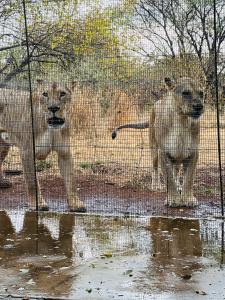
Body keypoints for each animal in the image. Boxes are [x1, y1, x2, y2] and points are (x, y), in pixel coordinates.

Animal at [0, 82, 86, 212]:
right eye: (45, 94)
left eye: (62, 94)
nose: (53, 108)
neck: (50, 127)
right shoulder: (27, 151)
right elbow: (32, 182)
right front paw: (38, 204)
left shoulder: (65, 152)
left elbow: (71, 180)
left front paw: (75, 204)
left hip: (4, 144)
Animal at [112, 77, 204, 206]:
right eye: (186, 93)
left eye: (201, 93)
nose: (199, 106)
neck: (182, 121)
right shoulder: (163, 152)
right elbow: (169, 178)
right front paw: (173, 199)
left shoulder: (193, 153)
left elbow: (189, 178)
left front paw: (188, 199)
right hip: (154, 150)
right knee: (155, 168)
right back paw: (156, 186)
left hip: (177, 156)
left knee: (176, 171)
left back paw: (178, 186)